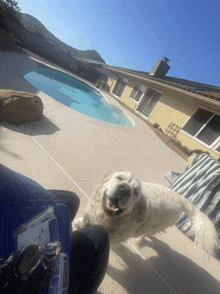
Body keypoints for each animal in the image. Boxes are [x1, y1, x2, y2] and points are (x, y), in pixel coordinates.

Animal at [73, 171, 219, 256]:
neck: (108, 218)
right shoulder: (88, 218)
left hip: (157, 225)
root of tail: (182, 198)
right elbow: (80, 223)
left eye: (136, 191)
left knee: (147, 232)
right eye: (119, 178)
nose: (125, 189)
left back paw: (140, 239)